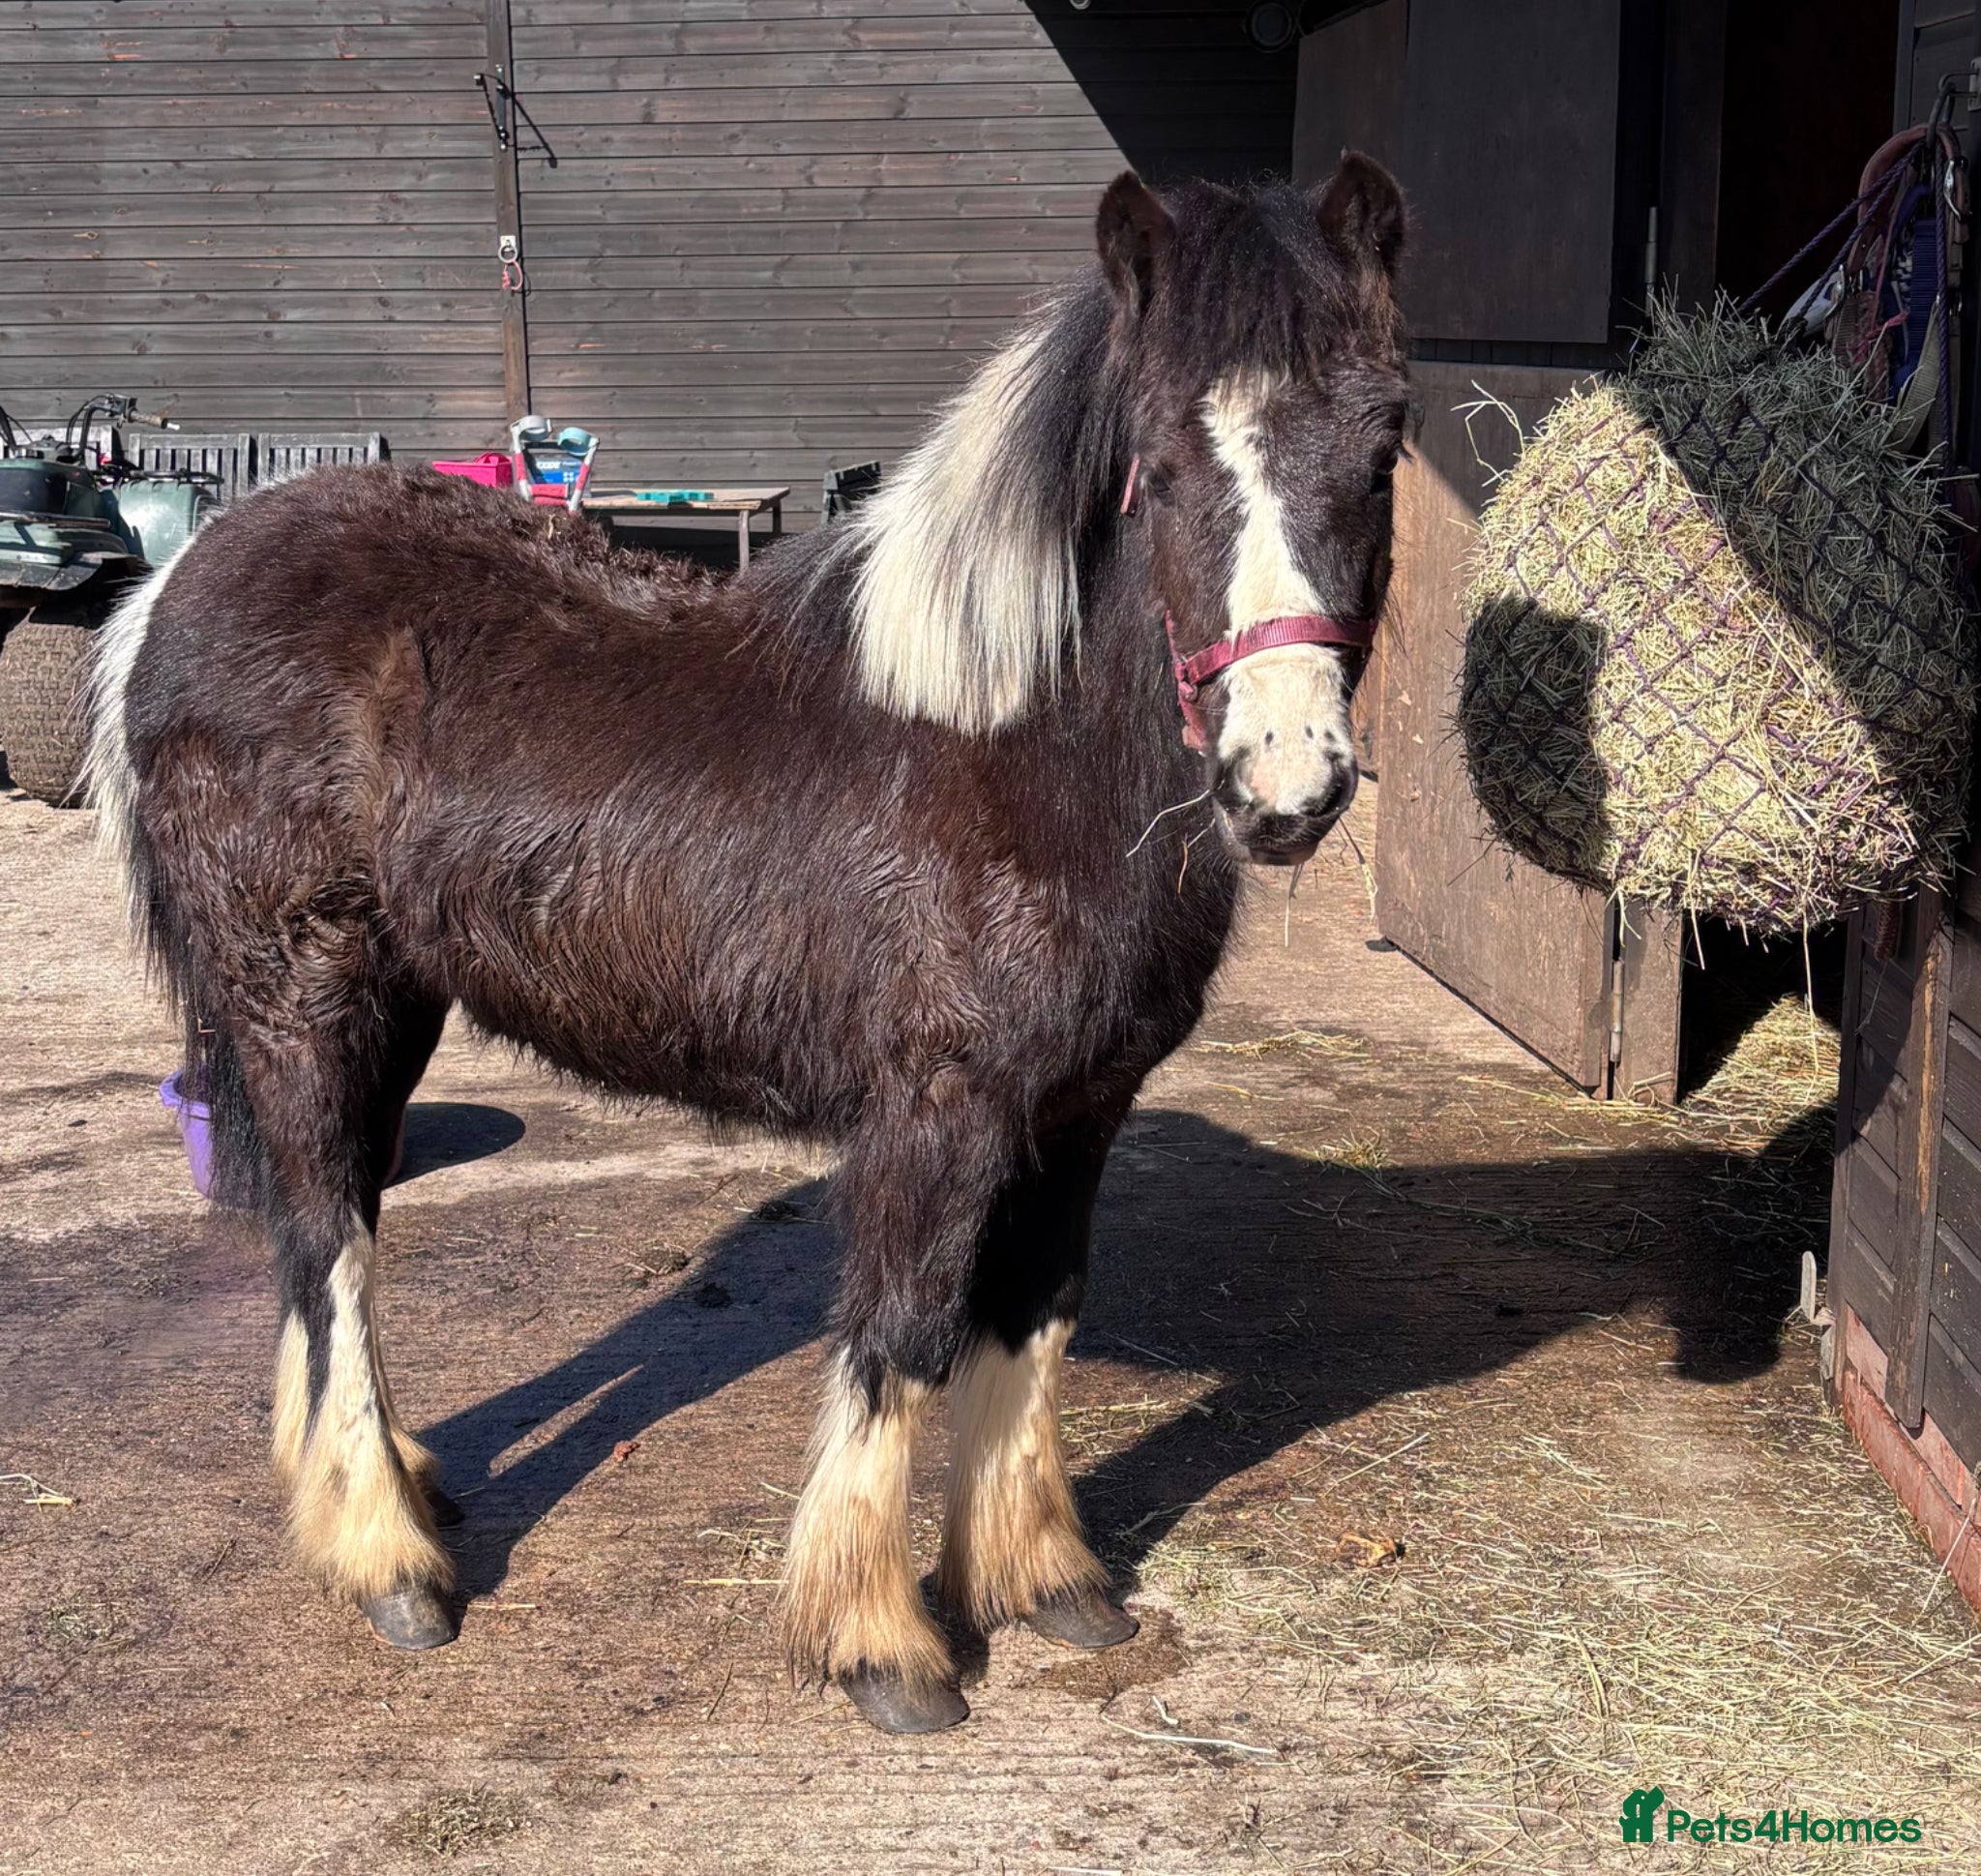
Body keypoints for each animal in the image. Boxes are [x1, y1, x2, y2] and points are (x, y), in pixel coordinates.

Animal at [85, 155, 1409, 1734]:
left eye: (1383, 442)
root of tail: (177, 582)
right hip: (301, 992)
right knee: (324, 1243)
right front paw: (880, 1643)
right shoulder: (938, 1112)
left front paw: (1046, 1583)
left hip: (393, 1006)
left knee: (327, 1221)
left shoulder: (1079, 1110)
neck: (1006, 750)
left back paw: (389, 1488)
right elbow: (905, 1336)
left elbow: (1034, 1319)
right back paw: (387, 1560)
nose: (1288, 783)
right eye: (1157, 455)